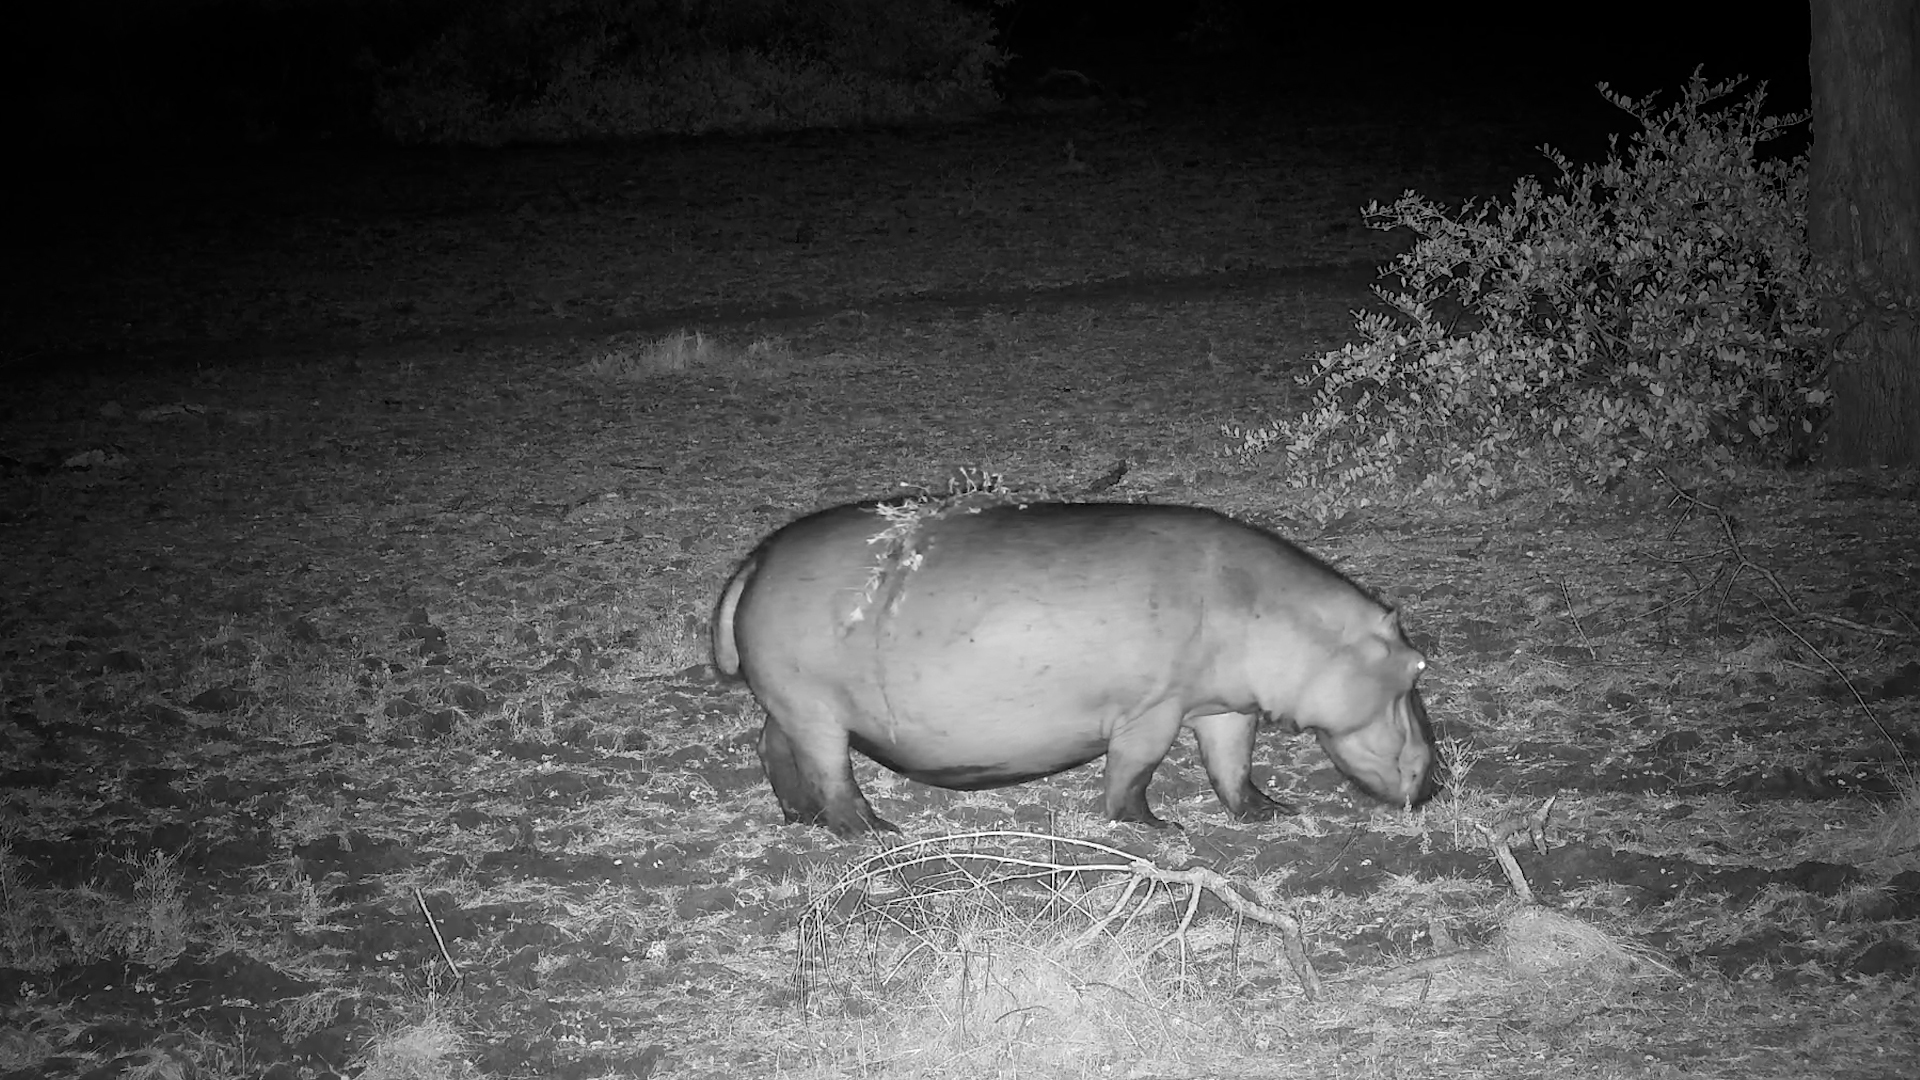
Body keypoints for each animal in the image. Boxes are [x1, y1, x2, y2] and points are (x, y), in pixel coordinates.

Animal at [711, 498, 1440, 836]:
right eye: (1417, 668)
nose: (1436, 781)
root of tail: (760, 558)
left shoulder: (1225, 706)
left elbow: (1233, 767)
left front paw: (1270, 813)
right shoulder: (1154, 710)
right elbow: (1133, 773)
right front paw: (1158, 827)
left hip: (793, 706)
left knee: (773, 749)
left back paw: (800, 817)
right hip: (817, 711)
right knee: (833, 776)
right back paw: (874, 829)